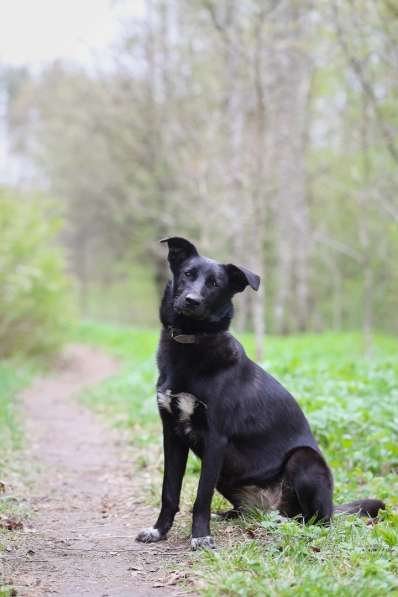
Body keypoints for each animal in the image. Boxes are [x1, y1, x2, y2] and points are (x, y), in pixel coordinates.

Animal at [136, 236, 382, 548]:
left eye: (215, 284)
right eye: (188, 274)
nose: (192, 300)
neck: (190, 344)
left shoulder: (215, 438)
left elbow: (201, 497)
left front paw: (201, 536)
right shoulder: (172, 433)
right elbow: (169, 491)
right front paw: (159, 530)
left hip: (304, 460)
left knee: (316, 520)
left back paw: (289, 523)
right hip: (228, 477)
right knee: (250, 511)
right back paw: (233, 515)